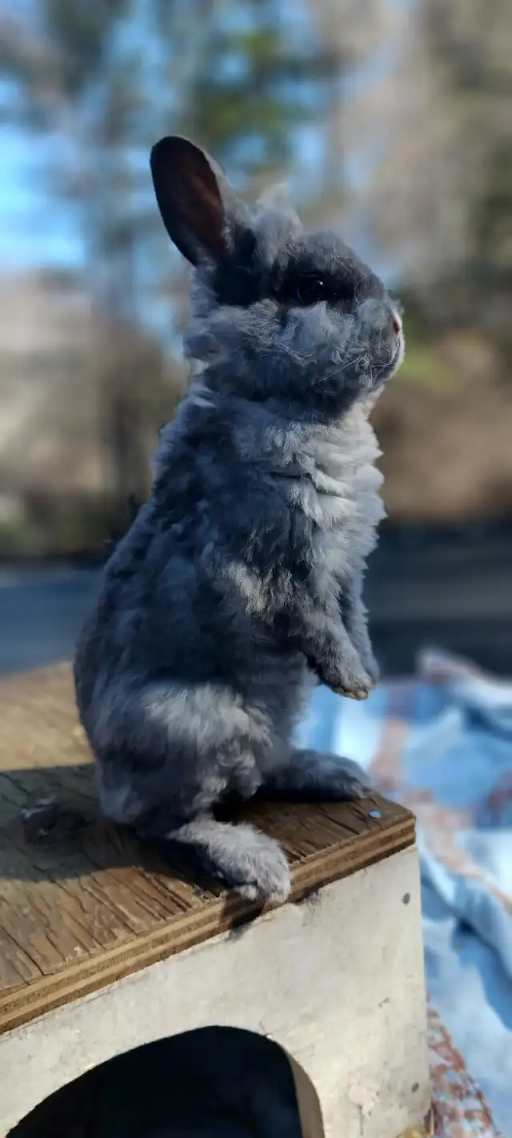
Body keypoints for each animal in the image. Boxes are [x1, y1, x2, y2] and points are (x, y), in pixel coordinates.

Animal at [73, 135, 405, 904]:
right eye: (313, 288)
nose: (400, 326)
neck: (289, 406)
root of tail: (108, 780)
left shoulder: (347, 573)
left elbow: (355, 618)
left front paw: (369, 674)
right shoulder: (271, 564)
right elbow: (315, 622)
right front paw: (355, 684)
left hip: (269, 717)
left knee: (259, 776)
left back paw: (334, 774)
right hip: (203, 727)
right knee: (169, 822)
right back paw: (257, 864)